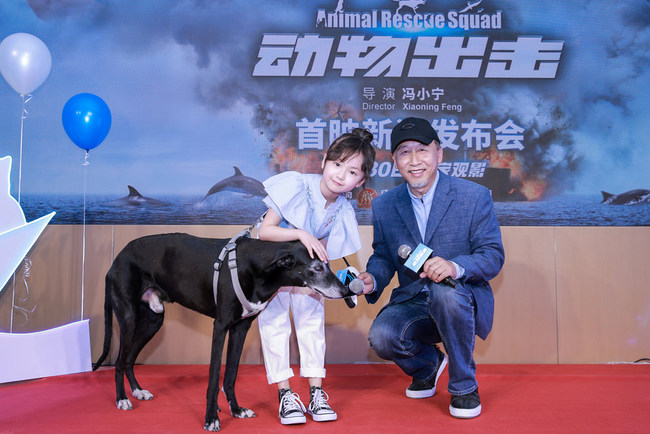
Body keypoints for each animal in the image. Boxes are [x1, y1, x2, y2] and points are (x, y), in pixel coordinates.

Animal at [93, 232, 352, 428]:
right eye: (316, 268)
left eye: (328, 265)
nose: (345, 291)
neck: (257, 268)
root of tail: (118, 256)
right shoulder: (220, 327)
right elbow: (214, 377)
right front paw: (211, 419)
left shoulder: (240, 329)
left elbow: (231, 375)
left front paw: (236, 410)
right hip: (129, 319)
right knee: (119, 360)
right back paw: (122, 399)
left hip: (152, 321)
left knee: (129, 358)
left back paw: (137, 391)